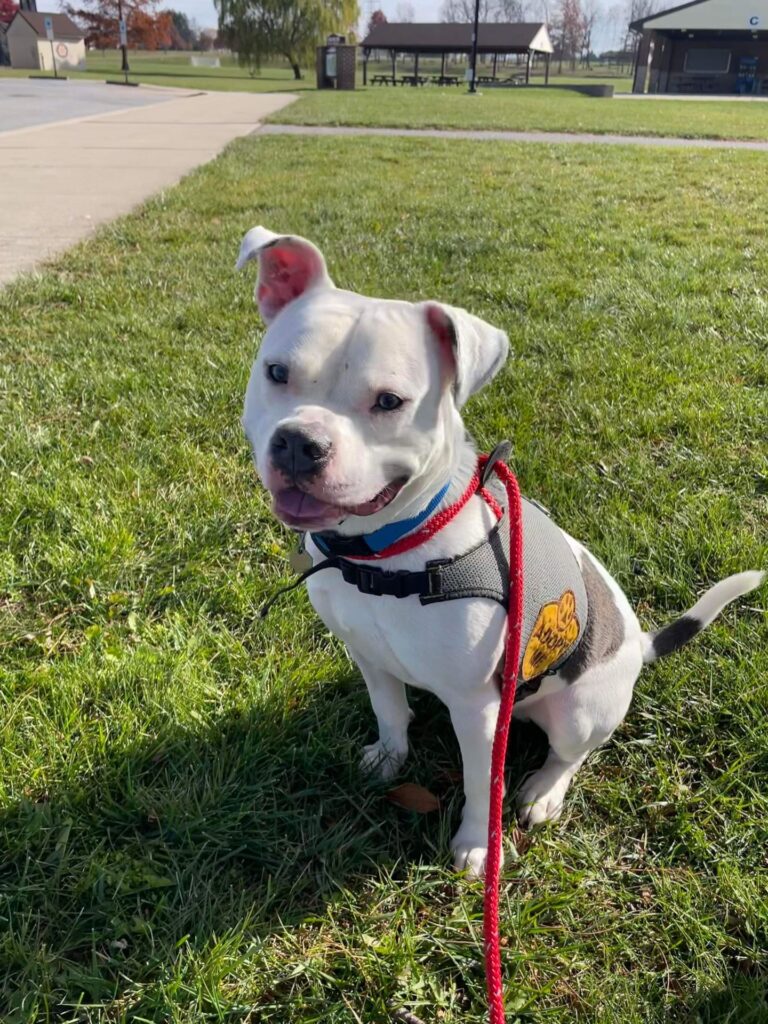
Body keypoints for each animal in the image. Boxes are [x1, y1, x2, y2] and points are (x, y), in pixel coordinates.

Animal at [237, 228, 765, 876]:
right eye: (276, 371)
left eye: (389, 402)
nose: (298, 442)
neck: (386, 553)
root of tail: (640, 646)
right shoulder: (367, 654)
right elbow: (389, 711)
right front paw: (389, 756)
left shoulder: (476, 708)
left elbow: (478, 781)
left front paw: (476, 845)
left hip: (579, 712)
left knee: (570, 754)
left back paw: (543, 791)